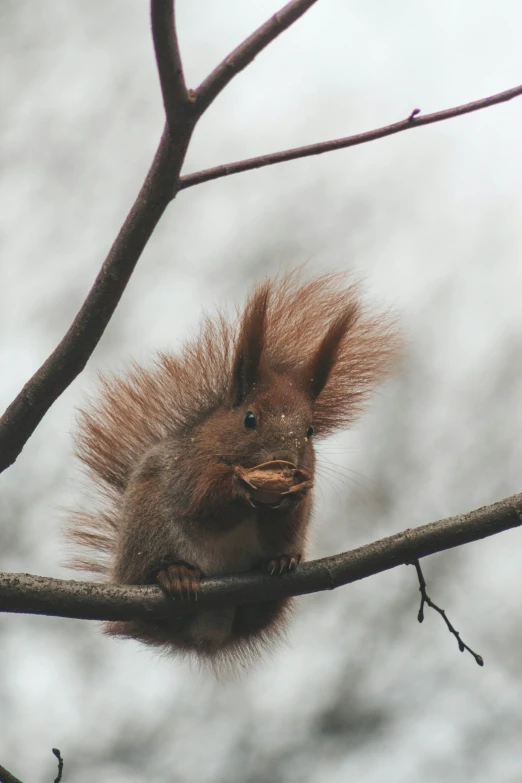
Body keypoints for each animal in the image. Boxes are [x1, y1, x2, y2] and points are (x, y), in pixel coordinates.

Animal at [66, 272, 398, 668]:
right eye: (249, 419)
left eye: (310, 430)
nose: (286, 459)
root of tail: (207, 633)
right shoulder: (189, 468)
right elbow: (201, 503)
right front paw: (239, 488)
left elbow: (288, 516)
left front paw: (294, 496)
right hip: (149, 534)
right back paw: (174, 574)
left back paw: (280, 564)